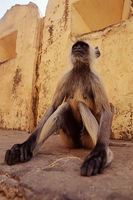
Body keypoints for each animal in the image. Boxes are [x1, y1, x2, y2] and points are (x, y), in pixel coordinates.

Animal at [4, 40, 114, 177]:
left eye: (83, 46)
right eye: (76, 46)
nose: (78, 48)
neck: (80, 70)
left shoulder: (96, 79)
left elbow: (105, 110)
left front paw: (98, 156)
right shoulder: (64, 77)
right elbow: (54, 106)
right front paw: (26, 144)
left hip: (87, 140)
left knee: (81, 105)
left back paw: (107, 155)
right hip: (69, 140)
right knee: (64, 107)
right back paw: (29, 151)